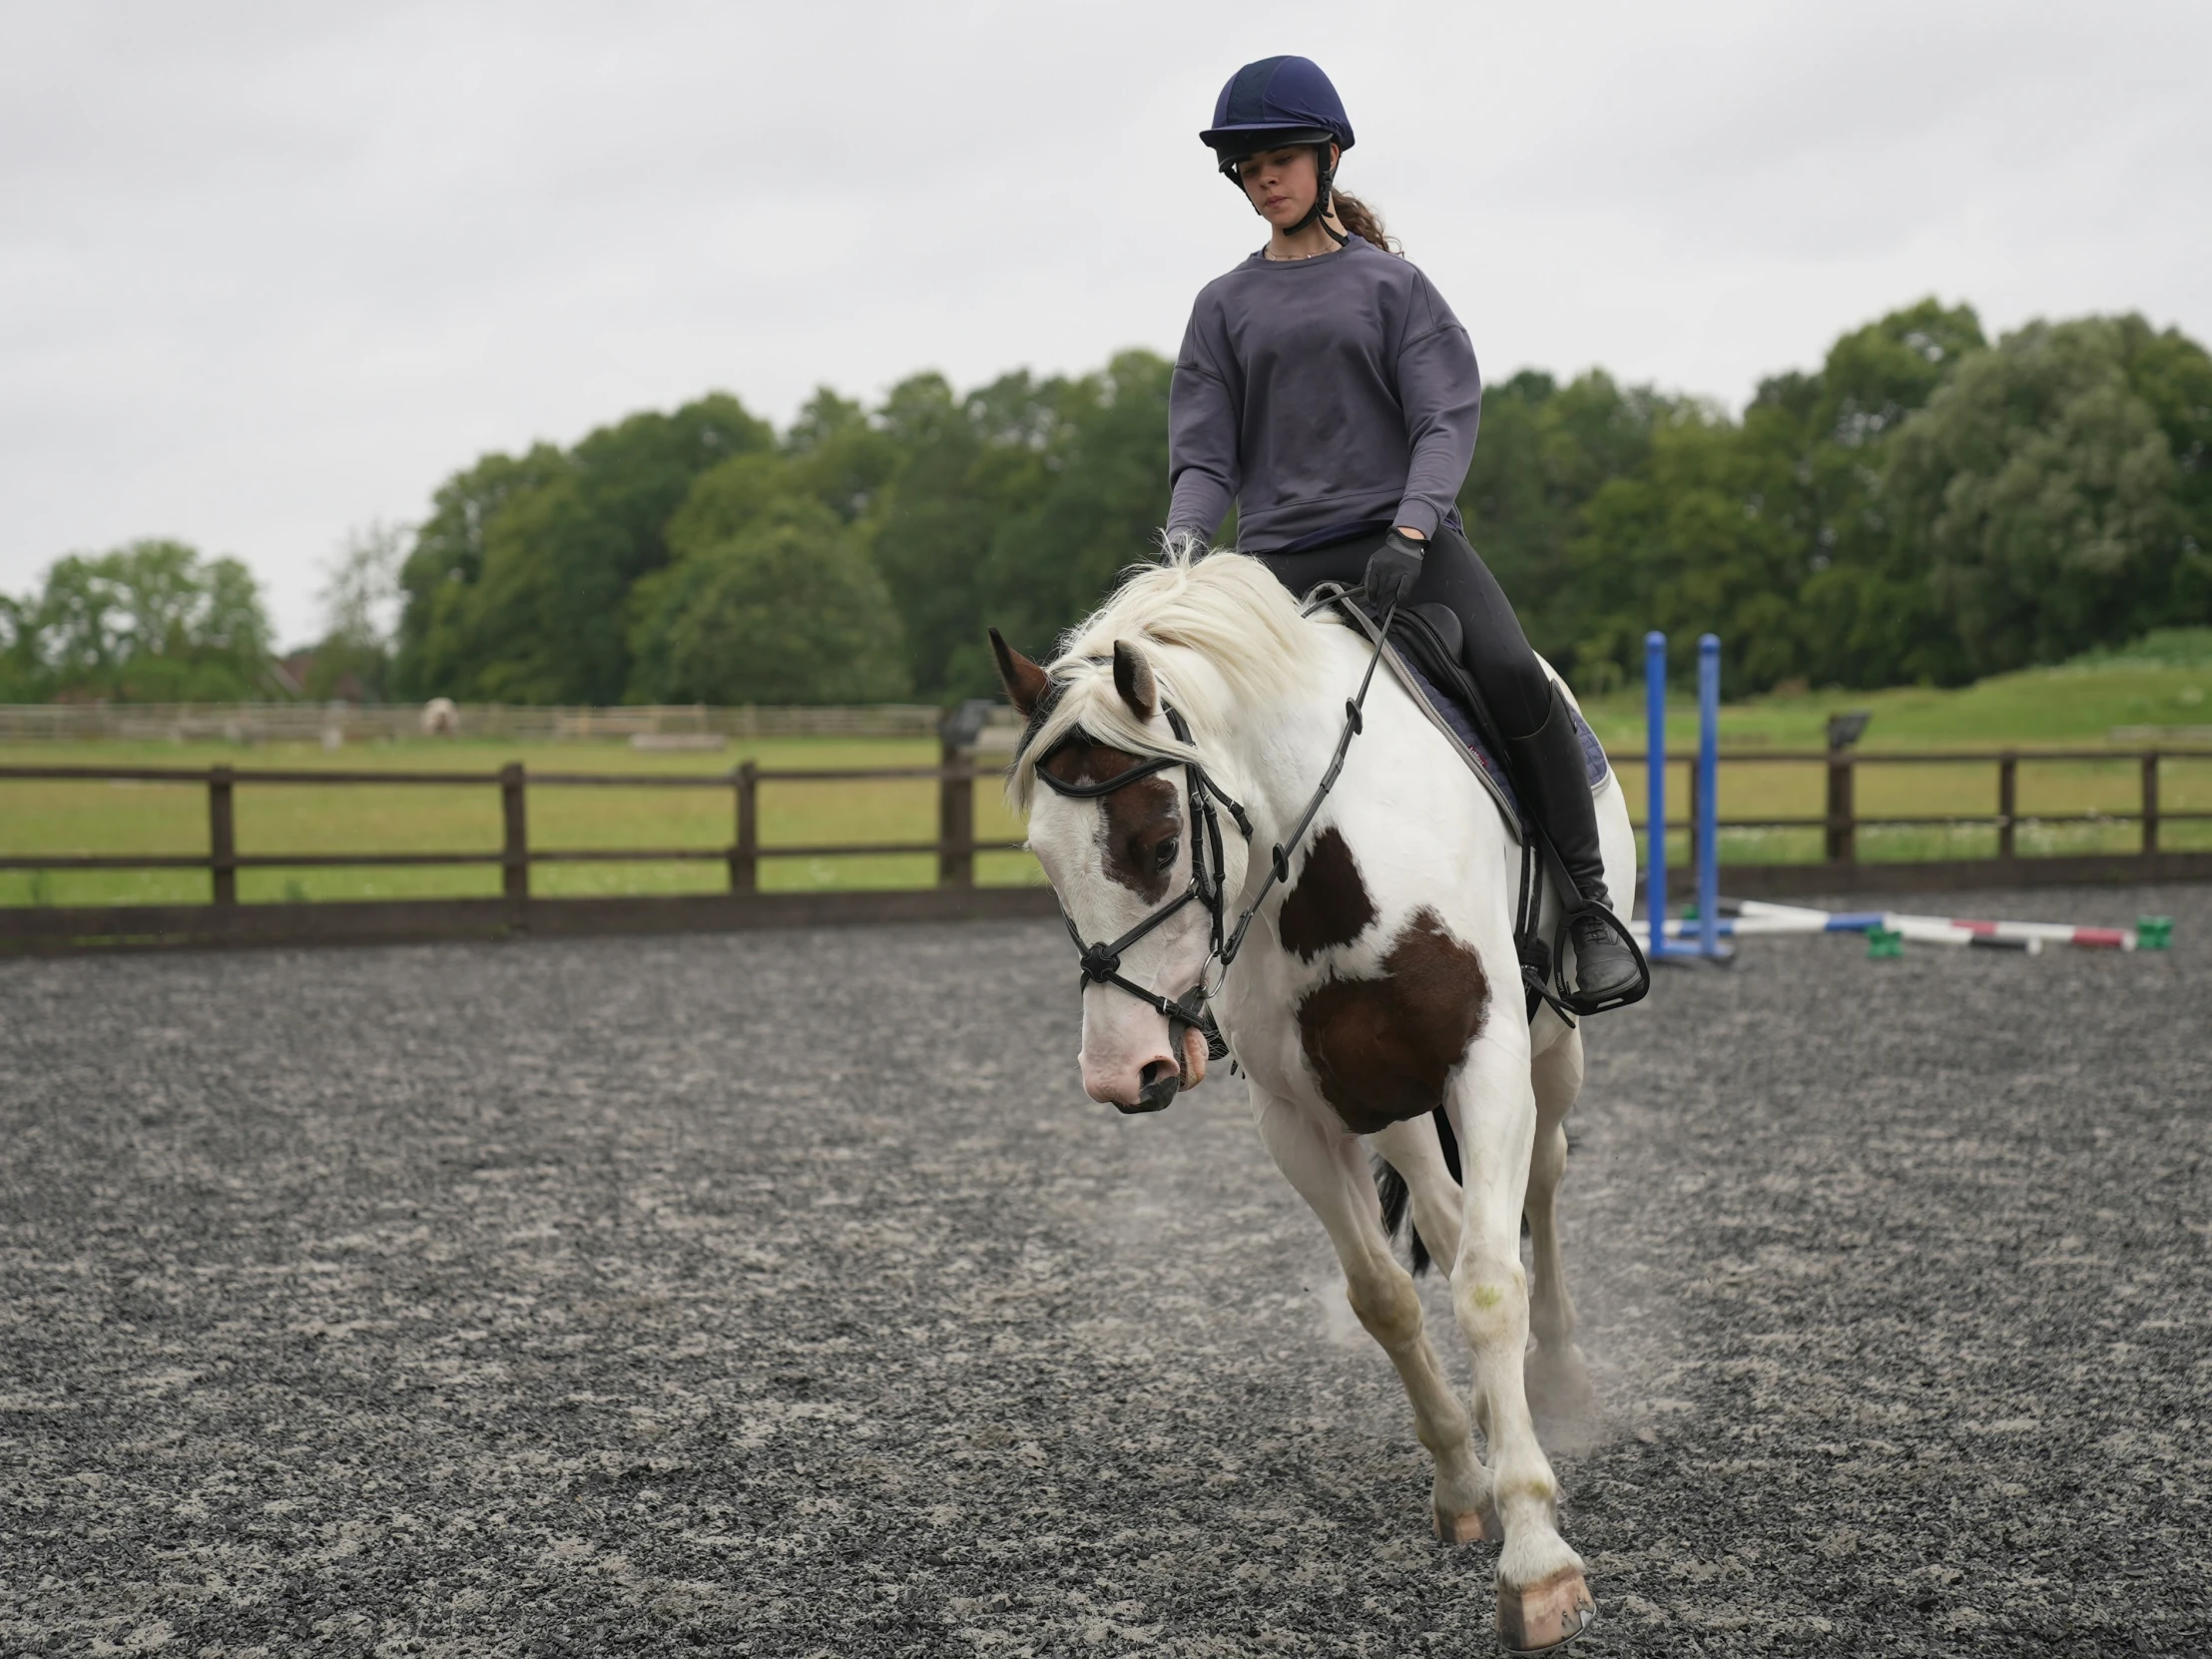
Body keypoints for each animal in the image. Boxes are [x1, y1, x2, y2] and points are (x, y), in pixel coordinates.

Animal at [995, 553, 1636, 1654]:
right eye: (1042, 854)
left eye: (1158, 841)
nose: (1122, 1073)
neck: (1334, 864)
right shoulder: (1298, 1114)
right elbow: (1382, 1296)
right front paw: (1461, 1480)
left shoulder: (1487, 1065)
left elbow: (1487, 1285)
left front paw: (1537, 1559)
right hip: (1391, 1101)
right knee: (1443, 1214)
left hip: (1551, 1059)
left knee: (1539, 1192)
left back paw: (1554, 1380)